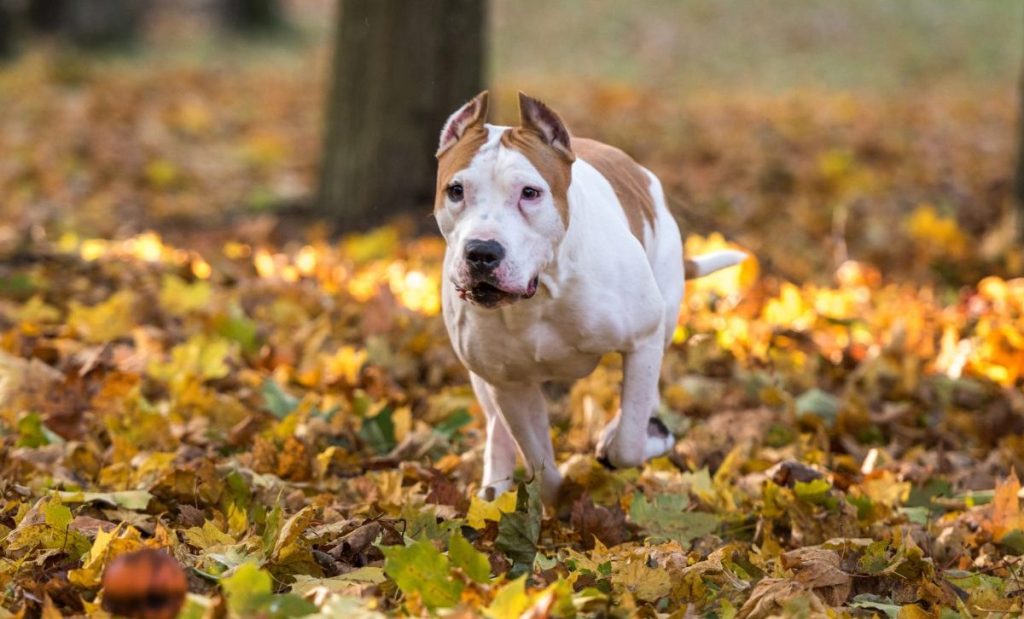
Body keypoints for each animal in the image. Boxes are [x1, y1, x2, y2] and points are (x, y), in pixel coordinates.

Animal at [434, 91, 745, 506]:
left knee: (646, 397)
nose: (482, 251)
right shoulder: (509, 383)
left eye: (530, 193)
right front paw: (557, 501)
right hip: (480, 373)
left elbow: (628, 442)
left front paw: (631, 443)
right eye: (456, 191)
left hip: (663, 318)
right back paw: (494, 486)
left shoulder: (643, 339)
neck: (541, 294)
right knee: (497, 424)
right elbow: (539, 462)